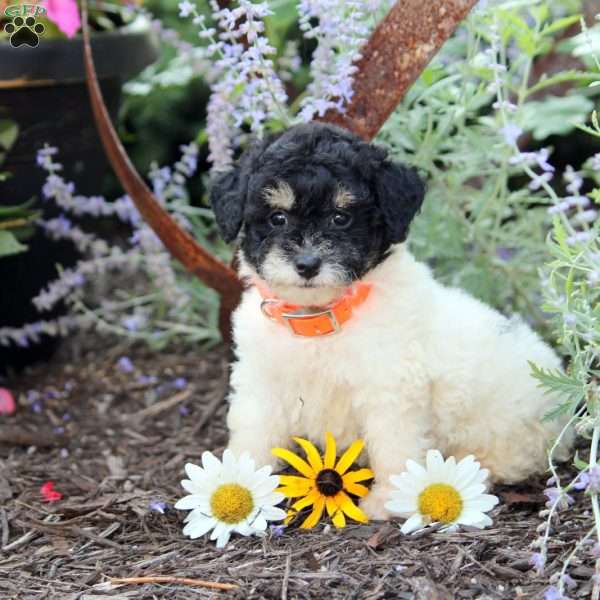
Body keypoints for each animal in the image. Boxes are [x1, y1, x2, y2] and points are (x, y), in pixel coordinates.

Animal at [211, 123, 572, 520]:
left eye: (341, 218)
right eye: (277, 218)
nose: (307, 265)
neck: (320, 319)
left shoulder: (391, 389)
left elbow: (393, 444)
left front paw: (388, 499)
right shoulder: (261, 384)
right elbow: (253, 432)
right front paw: (237, 488)